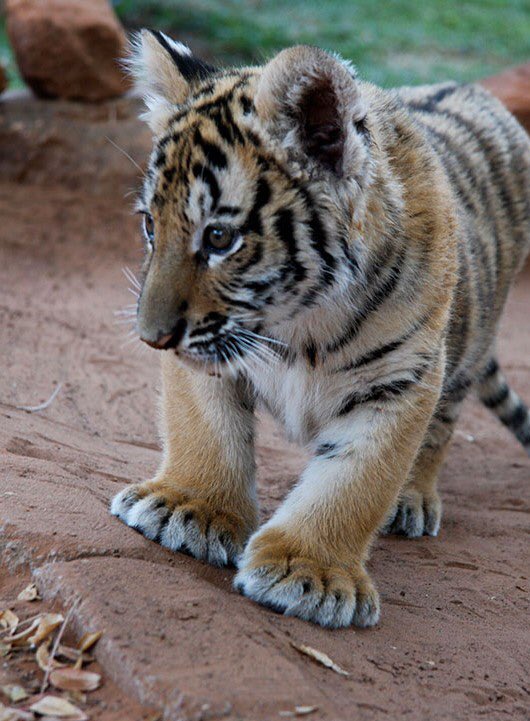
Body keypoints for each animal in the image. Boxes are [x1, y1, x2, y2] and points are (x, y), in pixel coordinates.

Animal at [110, 30, 530, 628]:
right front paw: (189, 507)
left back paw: (413, 500)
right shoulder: (210, 355)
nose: (152, 337)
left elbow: (356, 481)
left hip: (467, 351)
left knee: (443, 427)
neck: (300, 323)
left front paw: (309, 572)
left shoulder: (404, 380)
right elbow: (205, 429)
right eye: (150, 224)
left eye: (219, 237)